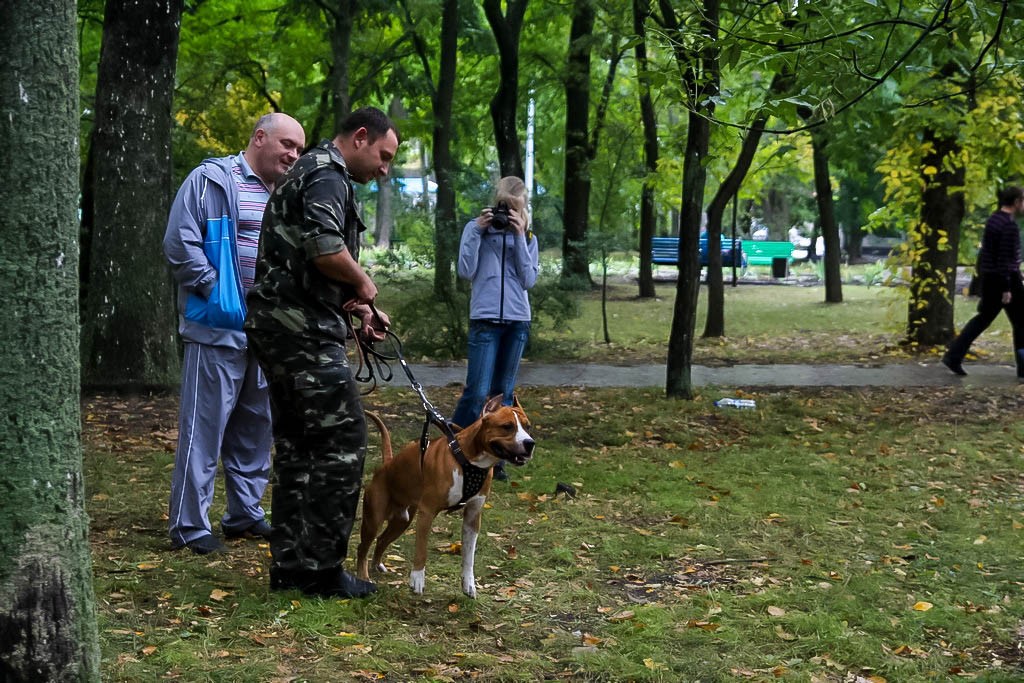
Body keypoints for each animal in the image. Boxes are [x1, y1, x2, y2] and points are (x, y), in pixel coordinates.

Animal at [360, 395, 536, 598]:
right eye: (507, 426)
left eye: (527, 427)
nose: (530, 443)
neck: (470, 460)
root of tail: (386, 465)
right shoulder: (427, 512)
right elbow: (421, 550)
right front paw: (417, 579)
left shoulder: (473, 517)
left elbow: (469, 555)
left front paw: (469, 584)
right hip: (373, 519)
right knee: (362, 549)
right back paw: (363, 577)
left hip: (401, 521)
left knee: (381, 540)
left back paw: (377, 565)